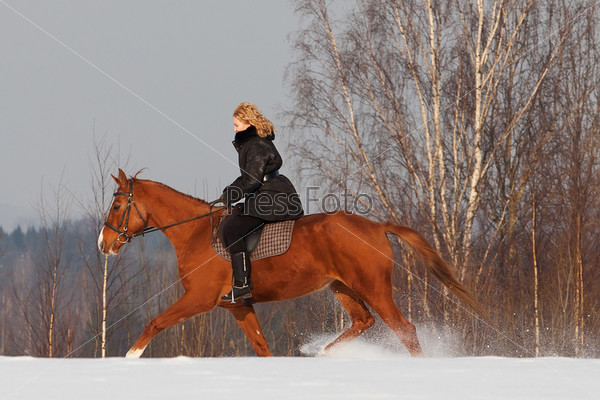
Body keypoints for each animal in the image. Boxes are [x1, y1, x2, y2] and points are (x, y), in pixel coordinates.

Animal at [99, 169, 482, 356]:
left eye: (117, 206)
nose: (103, 244)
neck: (195, 233)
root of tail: (376, 227)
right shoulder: (237, 306)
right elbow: (262, 347)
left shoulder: (199, 299)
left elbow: (153, 324)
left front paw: (127, 362)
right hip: (342, 288)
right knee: (363, 322)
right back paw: (324, 355)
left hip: (373, 288)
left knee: (405, 331)